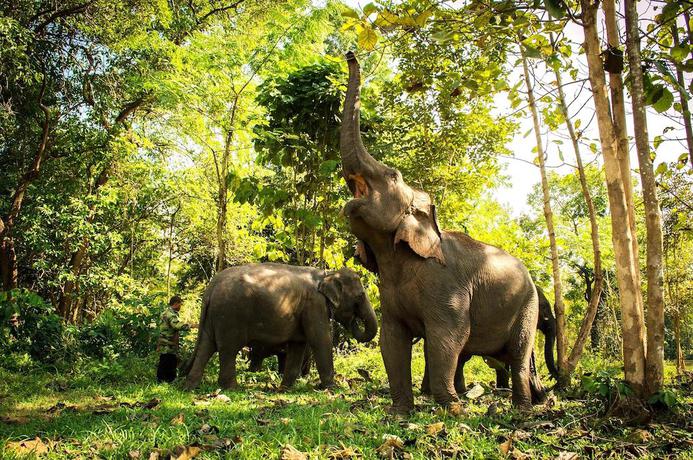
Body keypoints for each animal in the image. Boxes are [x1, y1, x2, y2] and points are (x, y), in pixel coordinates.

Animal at [182, 263, 378, 390]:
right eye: (360, 296)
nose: (354, 321)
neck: (327, 274)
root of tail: (211, 287)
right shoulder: (314, 305)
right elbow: (320, 340)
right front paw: (333, 388)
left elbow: (298, 344)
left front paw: (286, 388)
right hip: (230, 315)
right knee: (228, 349)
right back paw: (231, 388)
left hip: (214, 316)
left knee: (206, 346)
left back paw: (190, 387)